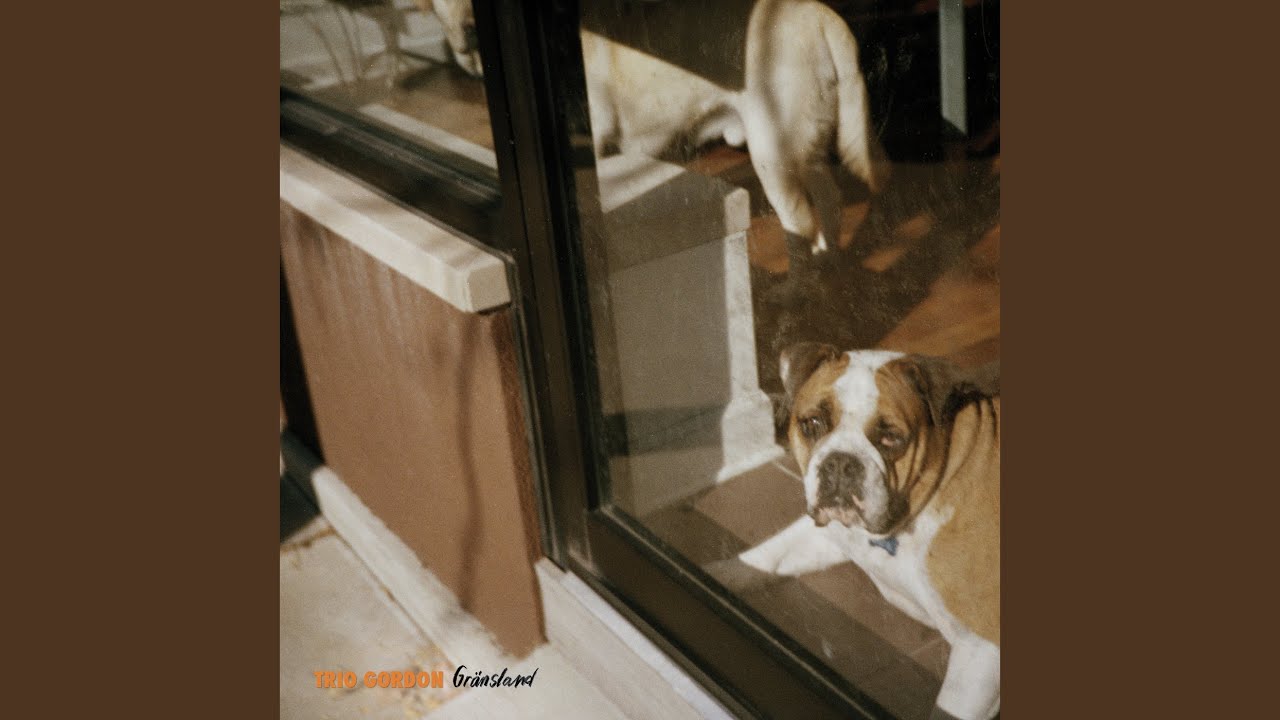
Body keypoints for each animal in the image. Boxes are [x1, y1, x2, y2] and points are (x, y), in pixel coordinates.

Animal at [582, 0, 890, 258]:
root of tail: (821, 14)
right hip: (805, 149)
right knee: (829, 201)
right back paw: (830, 259)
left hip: (772, 156)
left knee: (799, 225)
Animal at [710, 343, 999, 720]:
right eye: (813, 424)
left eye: (891, 438)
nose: (841, 461)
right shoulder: (832, 534)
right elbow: (768, 555)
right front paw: (719, 572)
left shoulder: (981, 653)